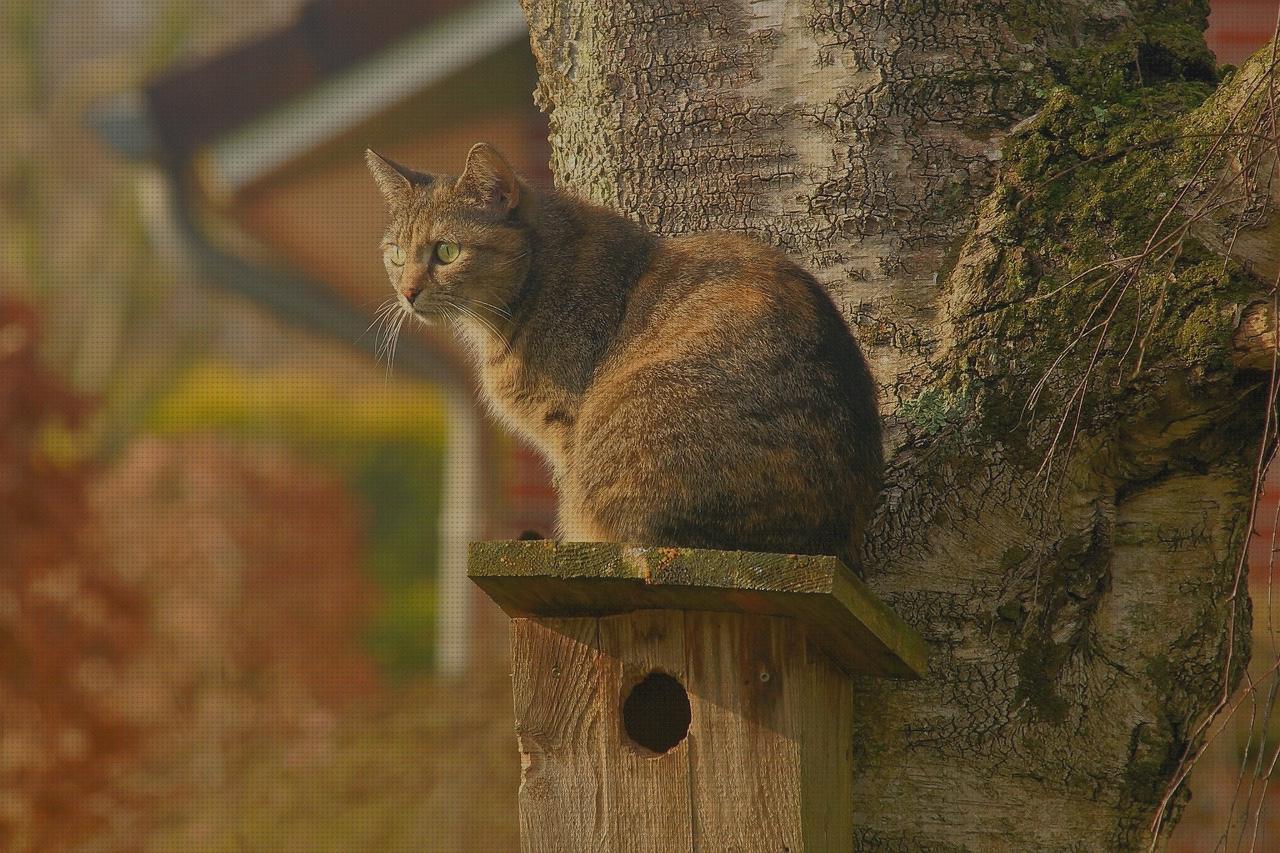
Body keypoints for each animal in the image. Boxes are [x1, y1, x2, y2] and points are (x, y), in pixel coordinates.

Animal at [363, 145, 880, 568]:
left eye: (447, 252)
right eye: (396, 254)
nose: (407, 291)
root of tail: (819, 542)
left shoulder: (567, 428)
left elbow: (567, 501)